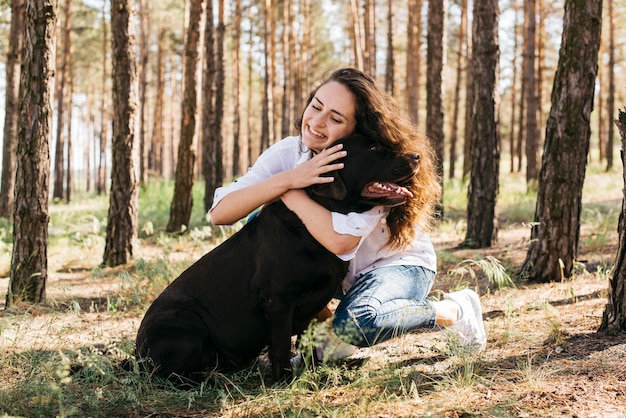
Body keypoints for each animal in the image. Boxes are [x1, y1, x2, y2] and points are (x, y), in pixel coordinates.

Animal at [136, 134, 420, 382]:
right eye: (373, 148)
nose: (417, 155)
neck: (319, 219)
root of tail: (137, 355)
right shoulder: (277, 300)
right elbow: (282, 345)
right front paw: (283, 380)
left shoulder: (311, 306)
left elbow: (308, 345)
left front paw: (312, 373)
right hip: (186, 327)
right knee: (172, 375)